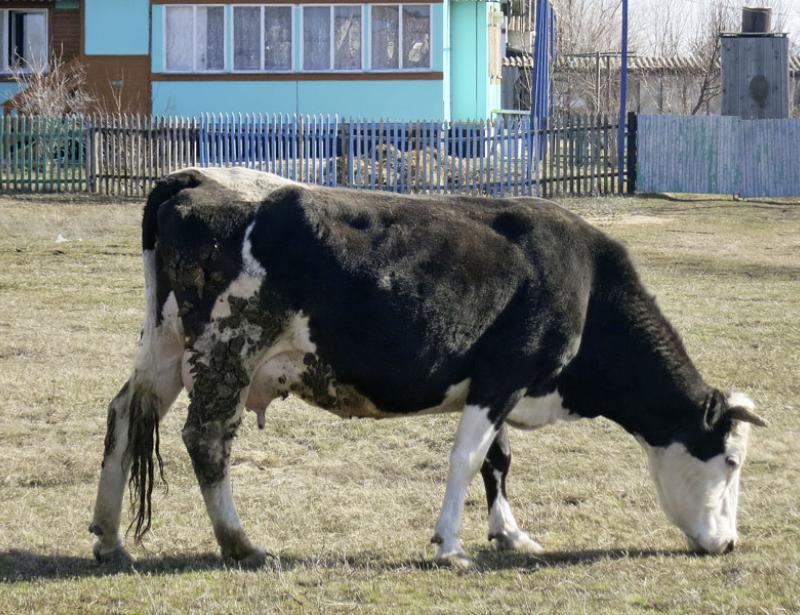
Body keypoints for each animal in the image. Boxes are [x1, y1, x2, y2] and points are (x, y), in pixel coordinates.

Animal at [89, 167, 766, 569]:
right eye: (732, 462)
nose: (730, 543)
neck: (585, 282)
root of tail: (195, 178)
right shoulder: (504, 375)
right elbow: (468, 459)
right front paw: (449, 546)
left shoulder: (497, 385)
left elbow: (498, 460)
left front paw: (509, 533)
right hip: (226, 349)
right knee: (206, 439)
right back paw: (241, 543)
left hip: (165, 346)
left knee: (124, 413)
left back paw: (110, 537)